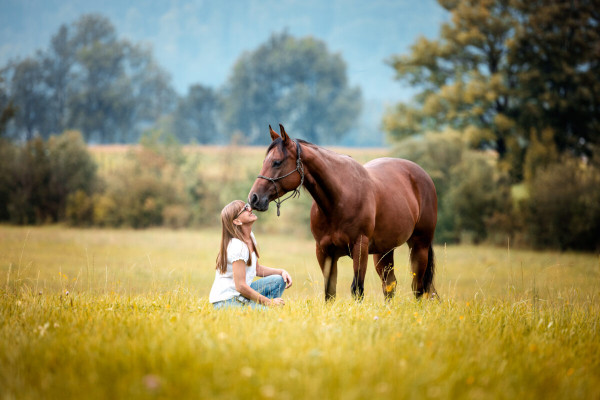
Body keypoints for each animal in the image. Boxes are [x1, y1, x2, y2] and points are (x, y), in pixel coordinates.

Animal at [246, 125, 438, 300]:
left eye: (277, 162)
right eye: (265, 162)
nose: (254, 198)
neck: (338, 201)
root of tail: (422, 175)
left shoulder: (359, 248)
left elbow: (357, 289)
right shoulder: (324, 252)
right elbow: (329, 292)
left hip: (419, 245)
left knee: (418, 288)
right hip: (383, 251)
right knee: (390, 285)